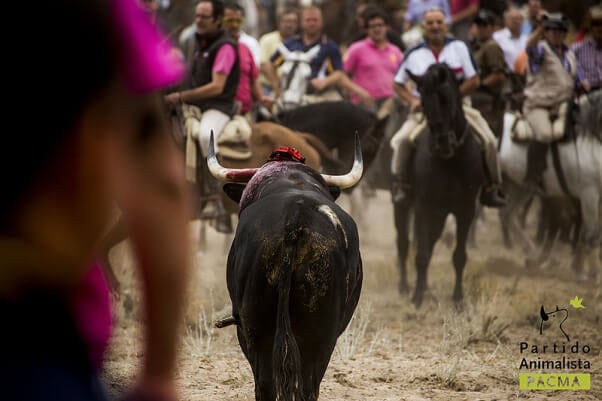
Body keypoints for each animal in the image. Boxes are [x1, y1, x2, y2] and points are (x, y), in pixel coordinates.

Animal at [394, 64, 482, 306]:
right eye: (422, 102)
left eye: (445, 98)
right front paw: (417, 298)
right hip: (405, 206)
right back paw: (406, 286)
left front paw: (458, 299)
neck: (450, 161)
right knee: (404, 243)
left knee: (430, 242)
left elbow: (459, 256)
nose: (442, 142)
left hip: (441, 215)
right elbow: (421, 253)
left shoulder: (466, 209)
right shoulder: (424, 207)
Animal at [496, 89, 600, 280]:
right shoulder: (589, 193)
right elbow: (592, 234)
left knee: (507, 214)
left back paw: (531, 255)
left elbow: (584, 232)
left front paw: (580, 269)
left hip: (519, 186)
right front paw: (593, 275)